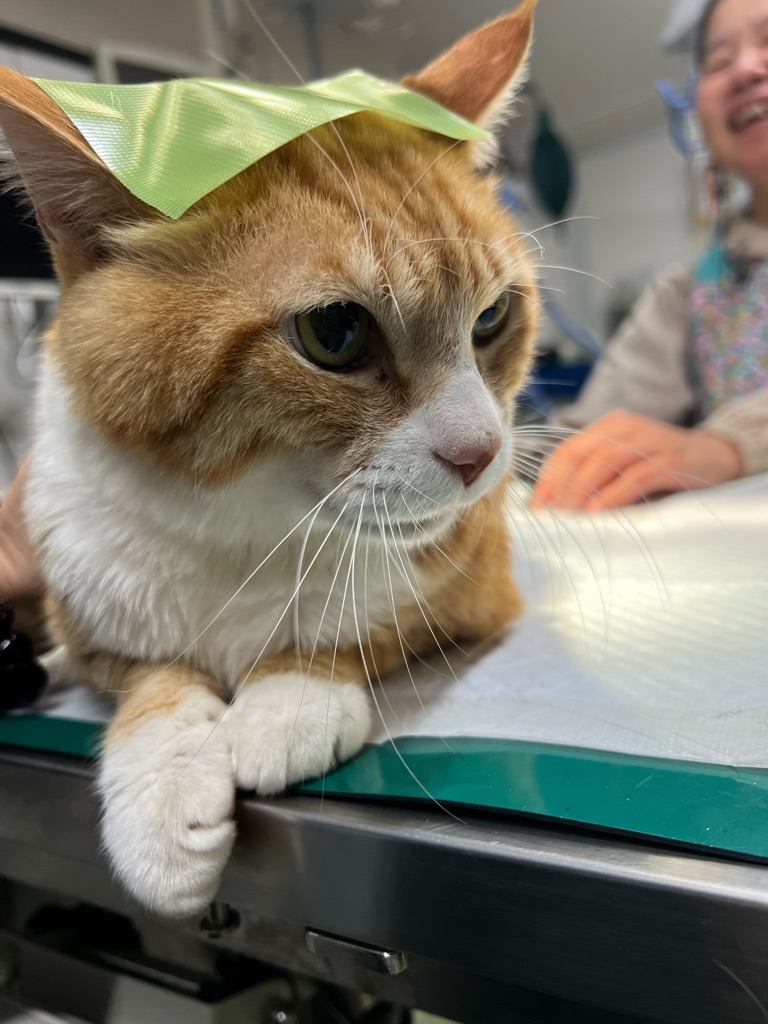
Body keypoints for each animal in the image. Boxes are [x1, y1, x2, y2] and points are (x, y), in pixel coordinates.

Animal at [0, 0, 538, 916]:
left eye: (494, 316)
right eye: (335, 332)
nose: (484, 453)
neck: (243, 527)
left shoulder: (475, 591)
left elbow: (359, 626)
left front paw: (287, 699)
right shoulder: (86, 616)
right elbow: (150, 678)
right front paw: (161, 795)